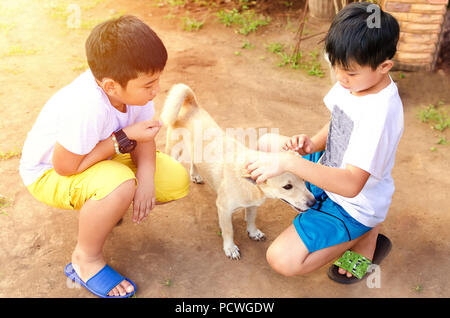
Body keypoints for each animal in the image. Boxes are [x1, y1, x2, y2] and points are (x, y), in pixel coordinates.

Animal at [160, 83, 314, 260]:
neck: (246, 181)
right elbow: (229, 231)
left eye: (304, 180)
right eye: (287, 187)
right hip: (173, 150)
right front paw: (230, 248)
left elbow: (252, 220)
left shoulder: (253, 205)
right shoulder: (224, 209)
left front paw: (253, 232)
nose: (314, 202)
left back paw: (196, 175)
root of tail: (192, 105)